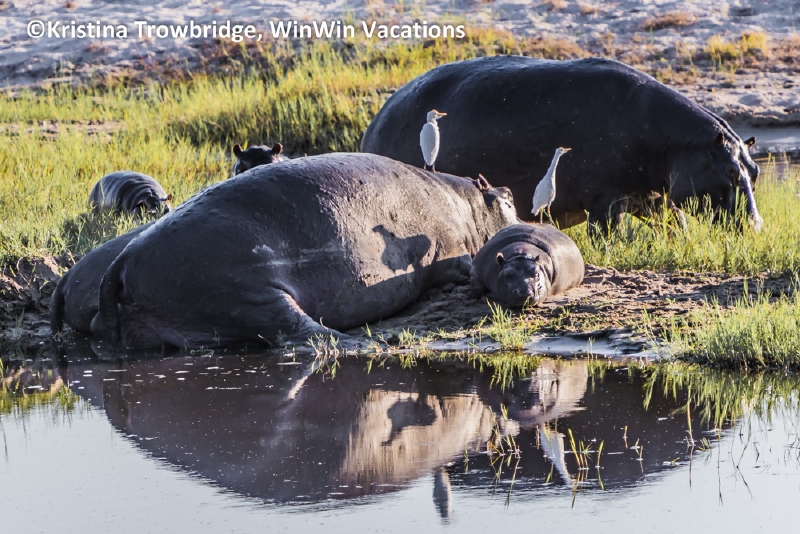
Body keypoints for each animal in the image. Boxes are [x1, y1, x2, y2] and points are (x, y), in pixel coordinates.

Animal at [90, 153, 519, 350]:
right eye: (510, 196)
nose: (509, 191)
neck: (465, 201)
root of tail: (123, 261)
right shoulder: (453, 252)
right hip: (250, 294)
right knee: (296, 330)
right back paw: (360, 342)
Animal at [361, 56, 763, 233]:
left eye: (755, 171)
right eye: (730, 171)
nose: (758, 227)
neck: (674, 142)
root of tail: (376, 120)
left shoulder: (651, 196)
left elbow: (674, 223)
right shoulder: (605, 199)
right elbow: (609, 235)